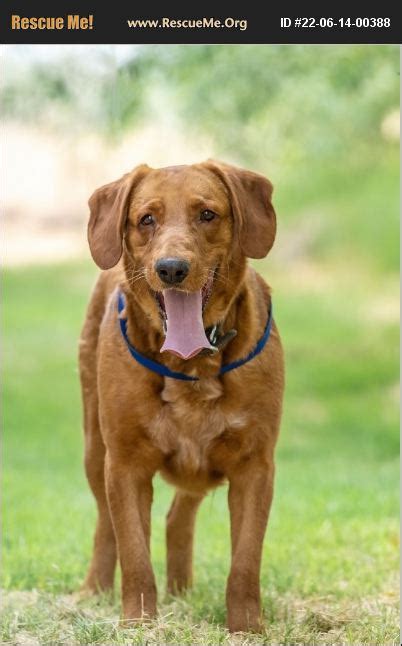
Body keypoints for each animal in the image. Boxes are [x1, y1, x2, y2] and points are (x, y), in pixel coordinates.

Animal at [78, 161, 284, 632]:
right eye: (146, 220)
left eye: (207, 214)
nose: (171, 268)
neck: (192, 366)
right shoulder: (125, 464)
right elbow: (134, 554)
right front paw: (138, 623)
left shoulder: (255, 466)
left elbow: (246, 561)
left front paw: (247, 627)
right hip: (94, 448)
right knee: (104, 525)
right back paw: (94, 591)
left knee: (177, 519)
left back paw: (182, 591)